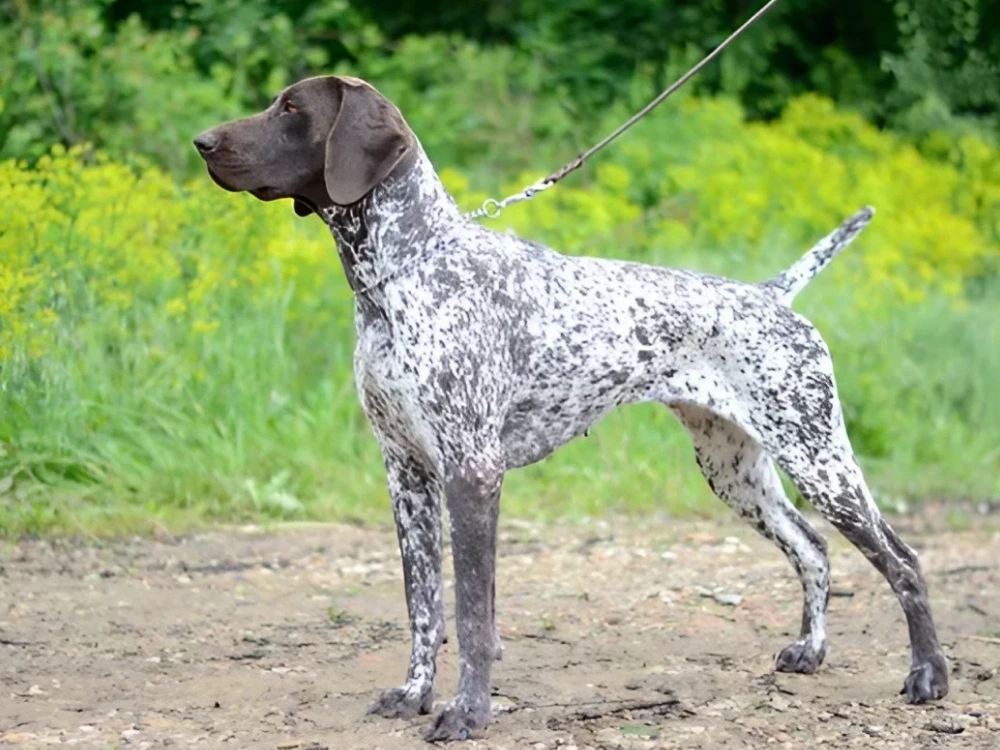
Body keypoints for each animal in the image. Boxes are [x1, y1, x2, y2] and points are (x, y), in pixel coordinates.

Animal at [193, 73, 944, 744]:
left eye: (292, 109)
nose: (201, 141)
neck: (402, 273)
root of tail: (772, 294)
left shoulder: (472, 473)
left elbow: (472, 614)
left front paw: (467, 714)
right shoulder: (406, 474)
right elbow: (422, 605)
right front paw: (413, 694)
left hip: (819, 459)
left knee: (903, 560)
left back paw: (928, 676)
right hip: (735, 470)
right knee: (812, 548)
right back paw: (810, 652)